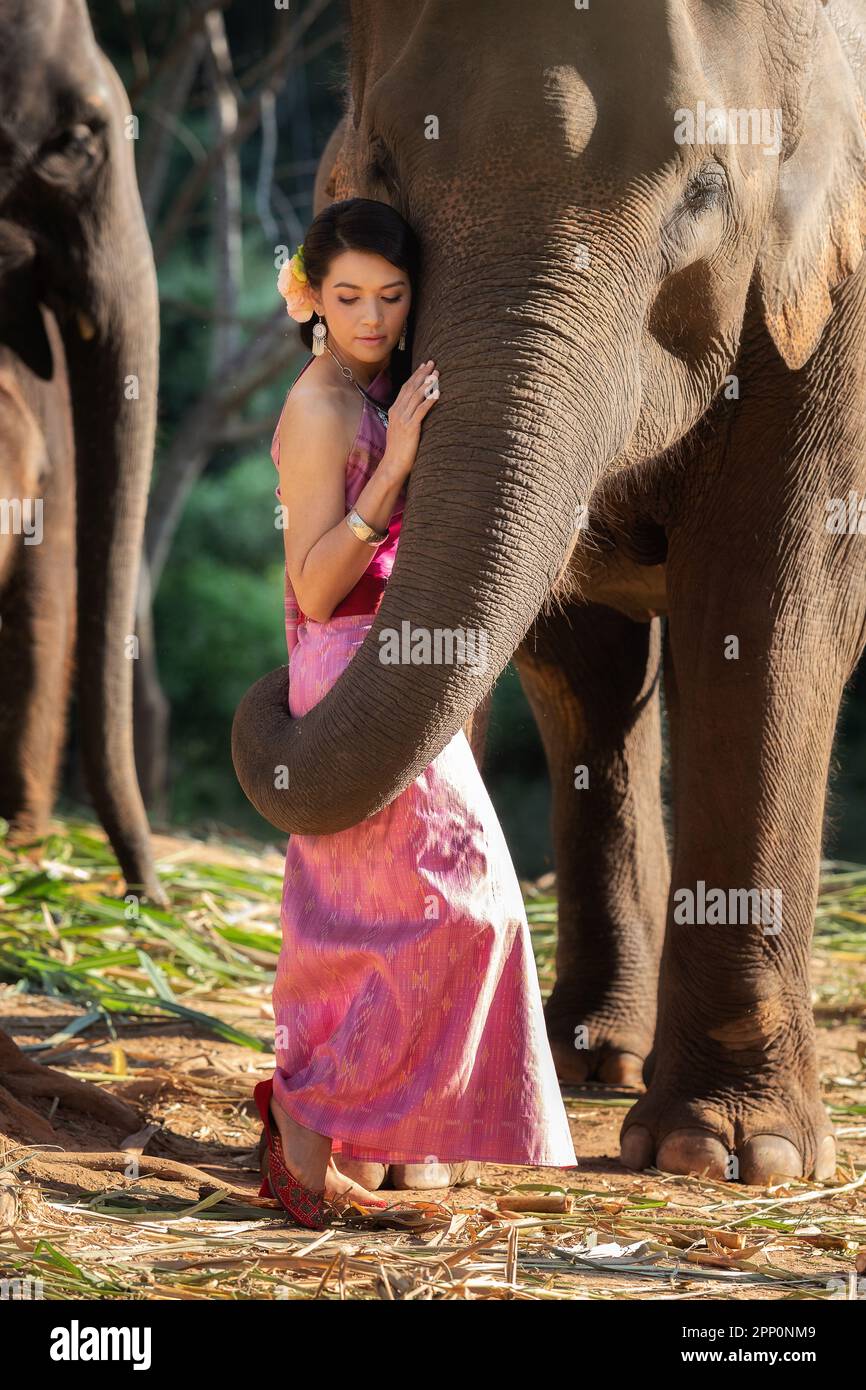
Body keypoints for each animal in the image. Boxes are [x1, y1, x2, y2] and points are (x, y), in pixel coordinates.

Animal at [232, 0, 866, 1184]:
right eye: (382, 166)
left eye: (703, 188)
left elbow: (774, 603)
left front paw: (731, 1154)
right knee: (591, 673)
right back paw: (594, 1056)